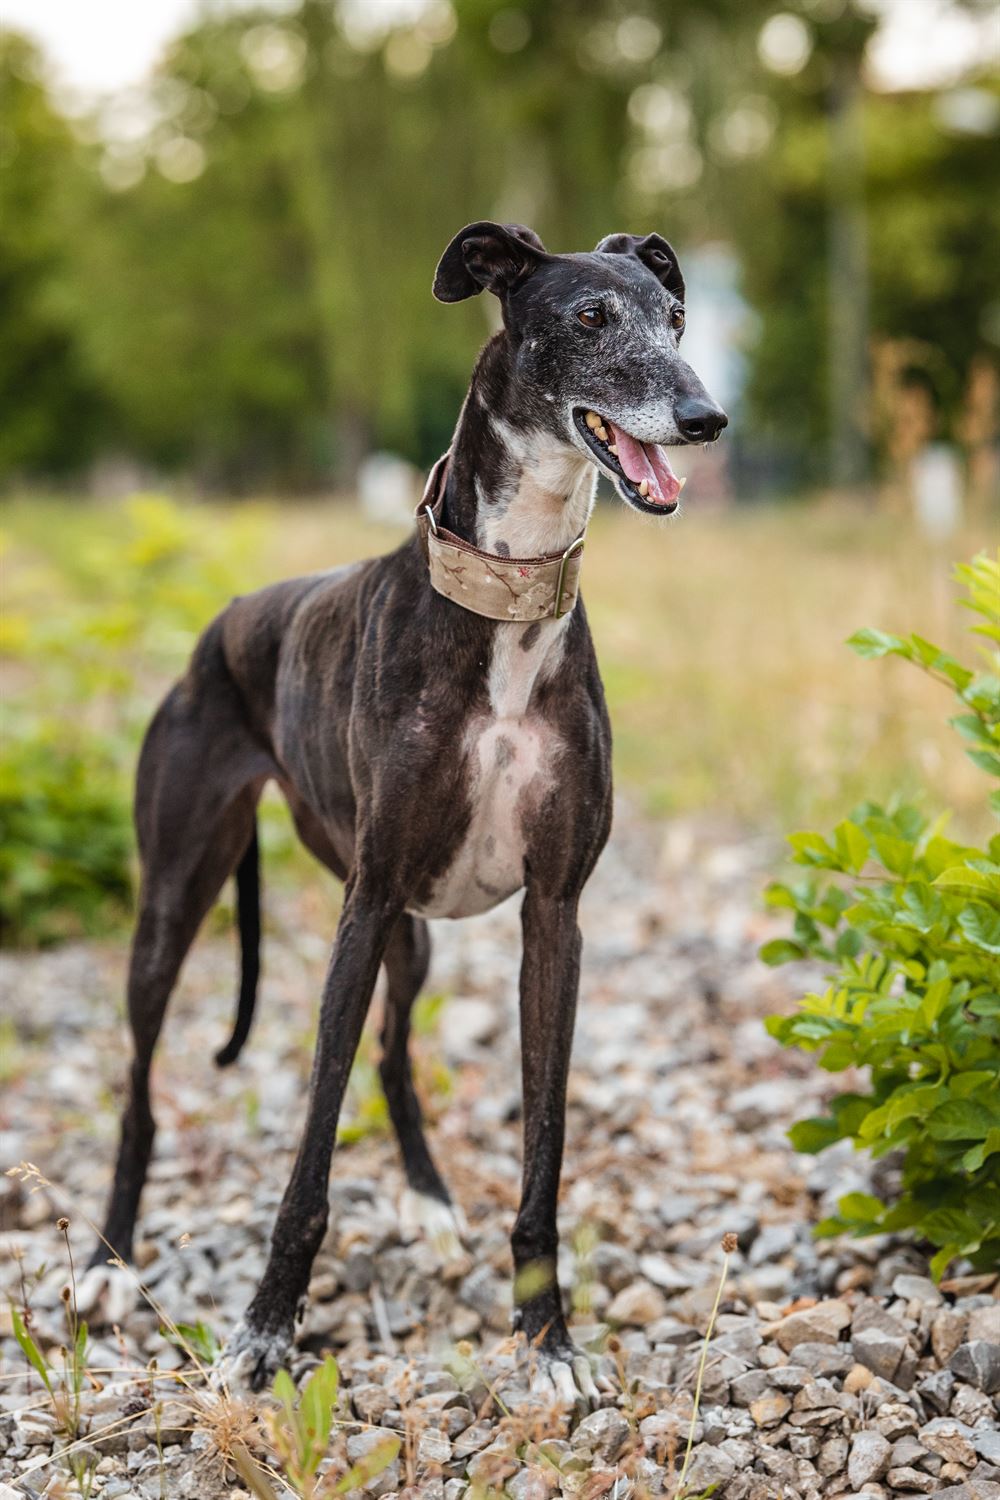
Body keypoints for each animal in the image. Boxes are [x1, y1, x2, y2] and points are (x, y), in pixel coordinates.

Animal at [86, 222, 728, 1404]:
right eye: (589, 318)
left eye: (675, 320)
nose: (704, 418)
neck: (505, 608)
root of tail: (222, 628)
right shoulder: (366, 900)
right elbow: (308, 1155)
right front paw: (264, 1332)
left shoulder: (552, 915)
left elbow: (541, 1147)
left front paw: (547, 1339)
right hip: (182, 898)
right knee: (143, 1090)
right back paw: (108, 1262)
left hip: (411, 934)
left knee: (390, 1055)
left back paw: (430, 1207)